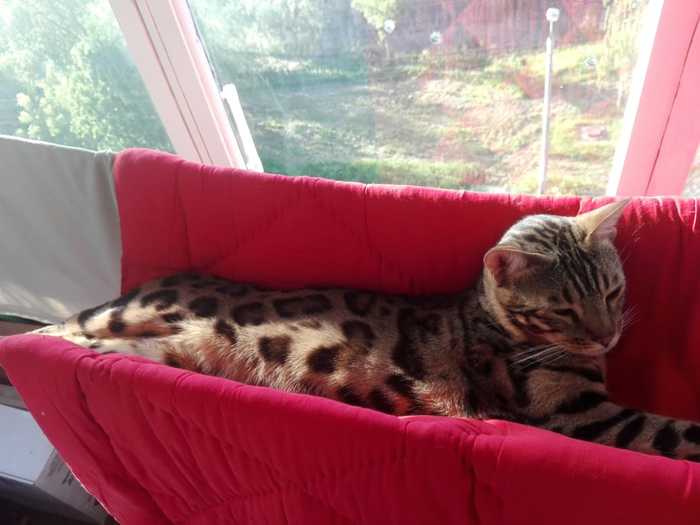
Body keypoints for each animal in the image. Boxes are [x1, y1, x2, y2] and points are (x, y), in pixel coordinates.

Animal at [32, 199, 700, 460]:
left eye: (611, 292)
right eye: (562, 310)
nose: (607, 336)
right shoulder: (583, 416)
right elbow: (676, 433)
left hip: (154, 346)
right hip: (130, 311)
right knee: (64, 323)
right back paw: (37, 342)